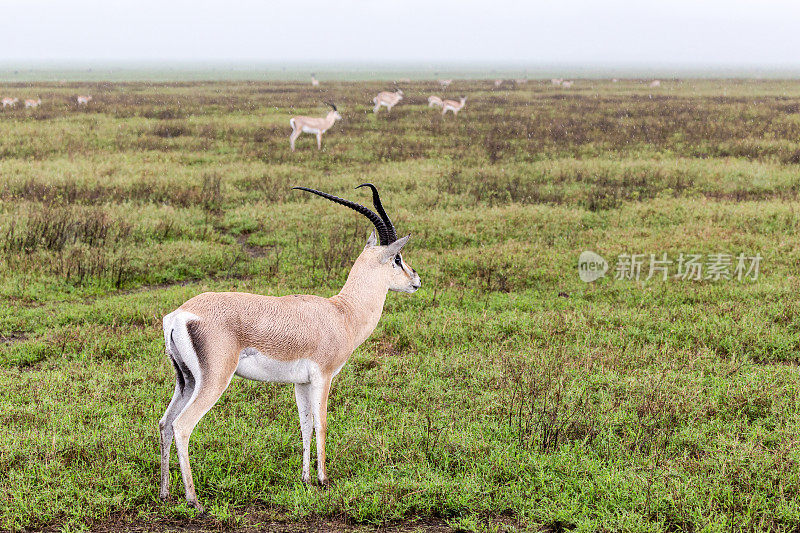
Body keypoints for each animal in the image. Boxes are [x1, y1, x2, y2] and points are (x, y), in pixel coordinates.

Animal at [159, 184, 422, 512]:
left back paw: (165, 494)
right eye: (397, 258)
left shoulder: (301, 382)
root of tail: (179, 315)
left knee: (165, 423)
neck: (342, 313)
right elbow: (322, 423)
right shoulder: (324, 376)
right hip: (214, 381)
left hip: (186, 381)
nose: (416, 279)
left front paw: (306, 480)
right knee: (182, 426)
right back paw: (194, 500)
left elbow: (305, 425)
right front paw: (323, 480)